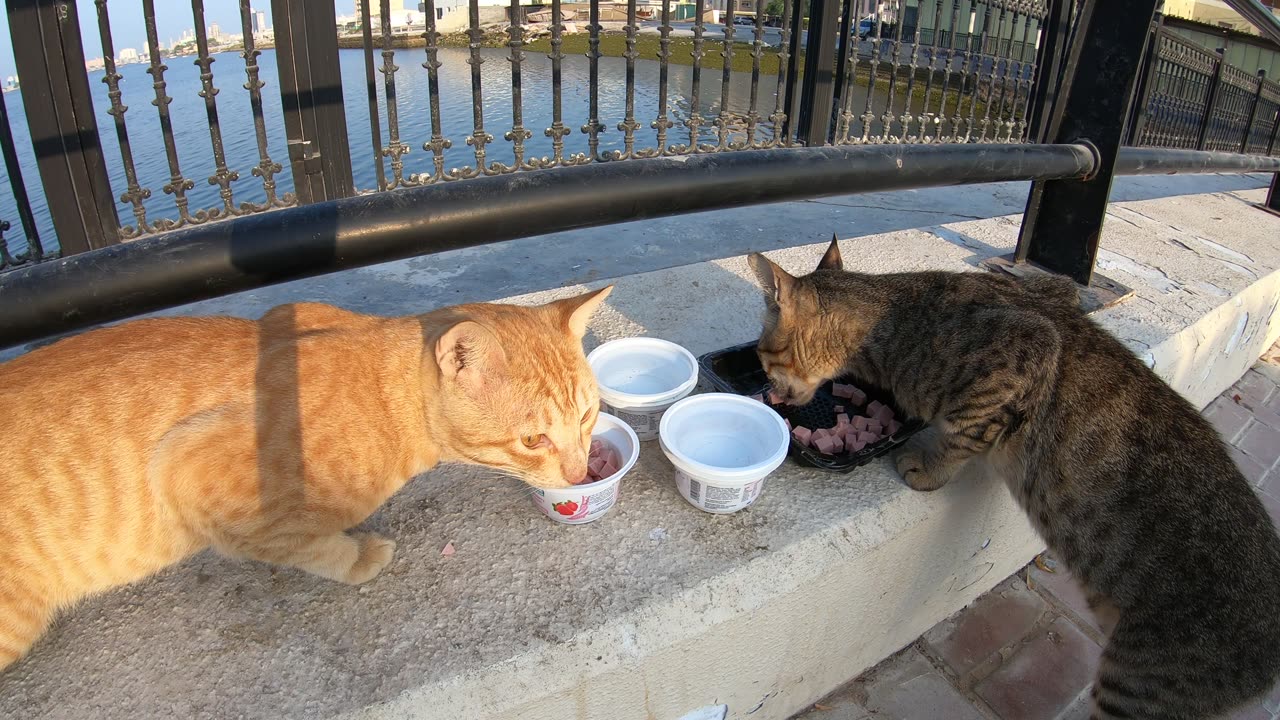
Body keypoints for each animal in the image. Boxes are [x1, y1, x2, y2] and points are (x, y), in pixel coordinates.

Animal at [0, 285, 614, 666]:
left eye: (587, 415)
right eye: (533, 440)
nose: (578, 472)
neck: (389, 400)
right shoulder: (189, 470)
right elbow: (308, 544)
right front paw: (358, 554)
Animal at [747, 238, 1280, 712]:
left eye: (762, 355)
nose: (766, 390)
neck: (897, 318)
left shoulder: (1024, 356)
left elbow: (964, 436)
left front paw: (928, 467)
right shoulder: (1054, 293)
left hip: (1137, 684)